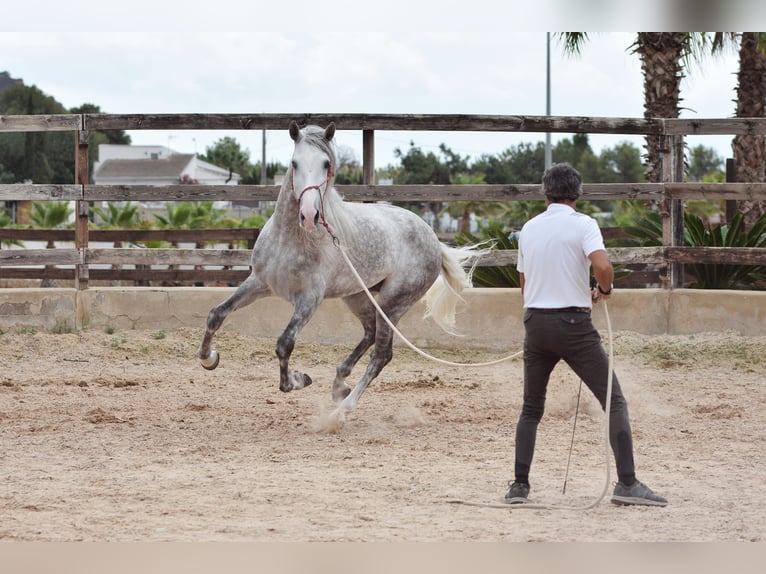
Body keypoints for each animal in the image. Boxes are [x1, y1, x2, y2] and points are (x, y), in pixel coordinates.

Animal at [198, 121, 480, 428]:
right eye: (294, 163)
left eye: (326, 164)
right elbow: (216, 314)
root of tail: (435, 241)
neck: (291, 240)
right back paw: (339, 384)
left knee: (381, 354)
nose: (309, 215)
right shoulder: (259, 283)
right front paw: (209, 358)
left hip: (393, 303)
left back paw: (341, 412)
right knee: (369, 334)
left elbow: (285, 344)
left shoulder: (309, 300)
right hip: (357, 296)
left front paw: (298, 380)